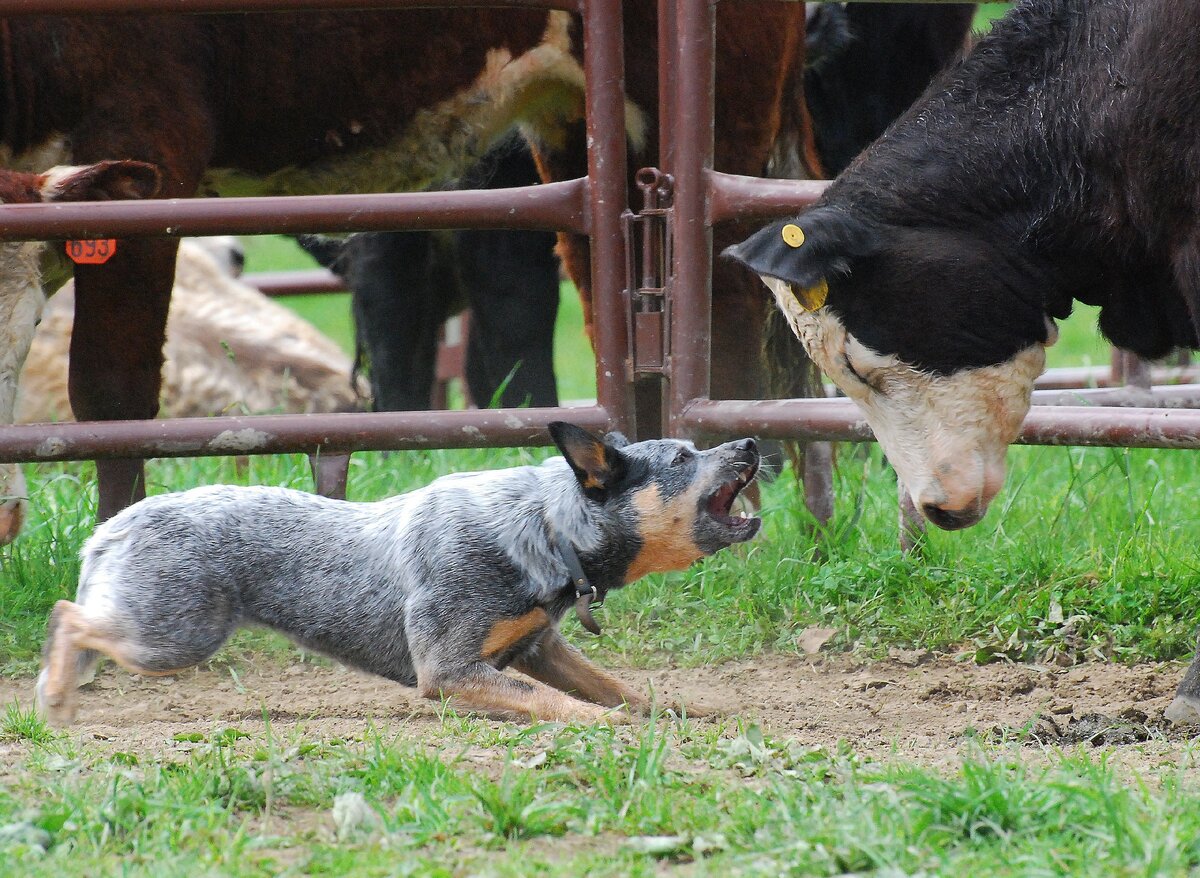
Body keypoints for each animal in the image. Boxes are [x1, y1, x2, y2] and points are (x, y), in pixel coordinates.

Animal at [42, 422, 763, 724]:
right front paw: (600, 725)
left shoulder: (540, 646)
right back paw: (54, 695)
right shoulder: (447, 669)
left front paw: (671, 710)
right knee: (68, 615)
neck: (545, 531)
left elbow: (613, 685)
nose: (752, 443)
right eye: (683, 457)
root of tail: (112, 526)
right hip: (175, 636)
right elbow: (552, 700)